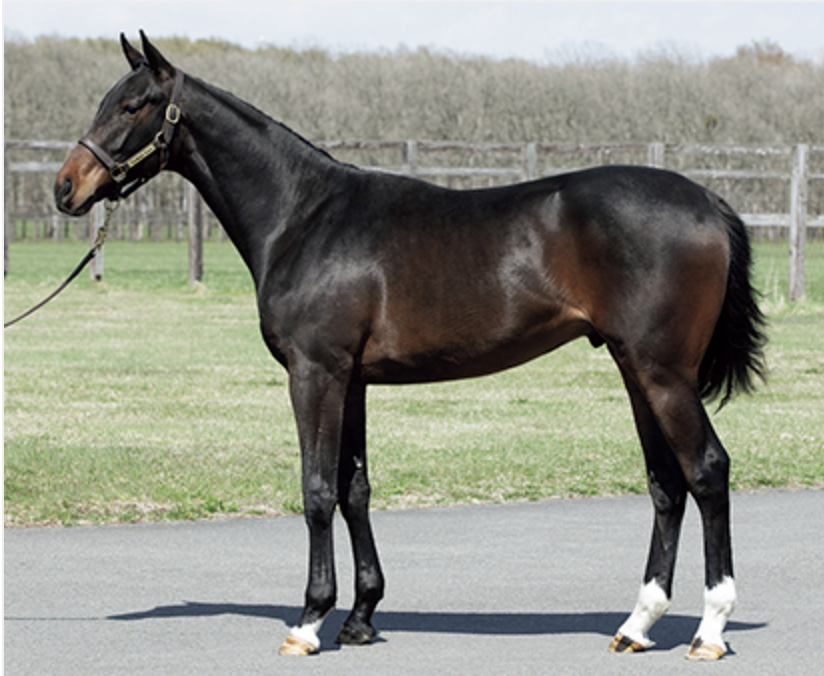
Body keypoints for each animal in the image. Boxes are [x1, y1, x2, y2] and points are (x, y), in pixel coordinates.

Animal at [55, 32, 766, 660]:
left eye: (132, 105)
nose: (66, 187)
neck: (304, 216)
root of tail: (708, 200)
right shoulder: (352, 381)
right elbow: (355, 489)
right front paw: (361, 617)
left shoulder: (315, 373)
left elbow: (317, 490)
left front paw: (309, 622)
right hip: (635, 368)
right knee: (666, 483)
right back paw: (636, 626)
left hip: (662, 372)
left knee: (707, 471)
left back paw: (708, 631)